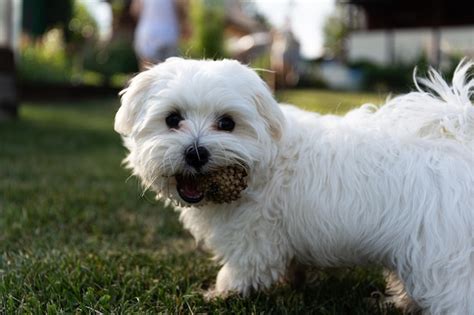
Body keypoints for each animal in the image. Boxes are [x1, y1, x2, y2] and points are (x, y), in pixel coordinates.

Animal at [115, 58, 474, 314]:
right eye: (173, 119)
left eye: (227, 123)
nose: (196, 152)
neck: (262, 162)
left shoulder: (252, 237)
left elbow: (241, 269)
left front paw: (220, 293)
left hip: (444, 255)